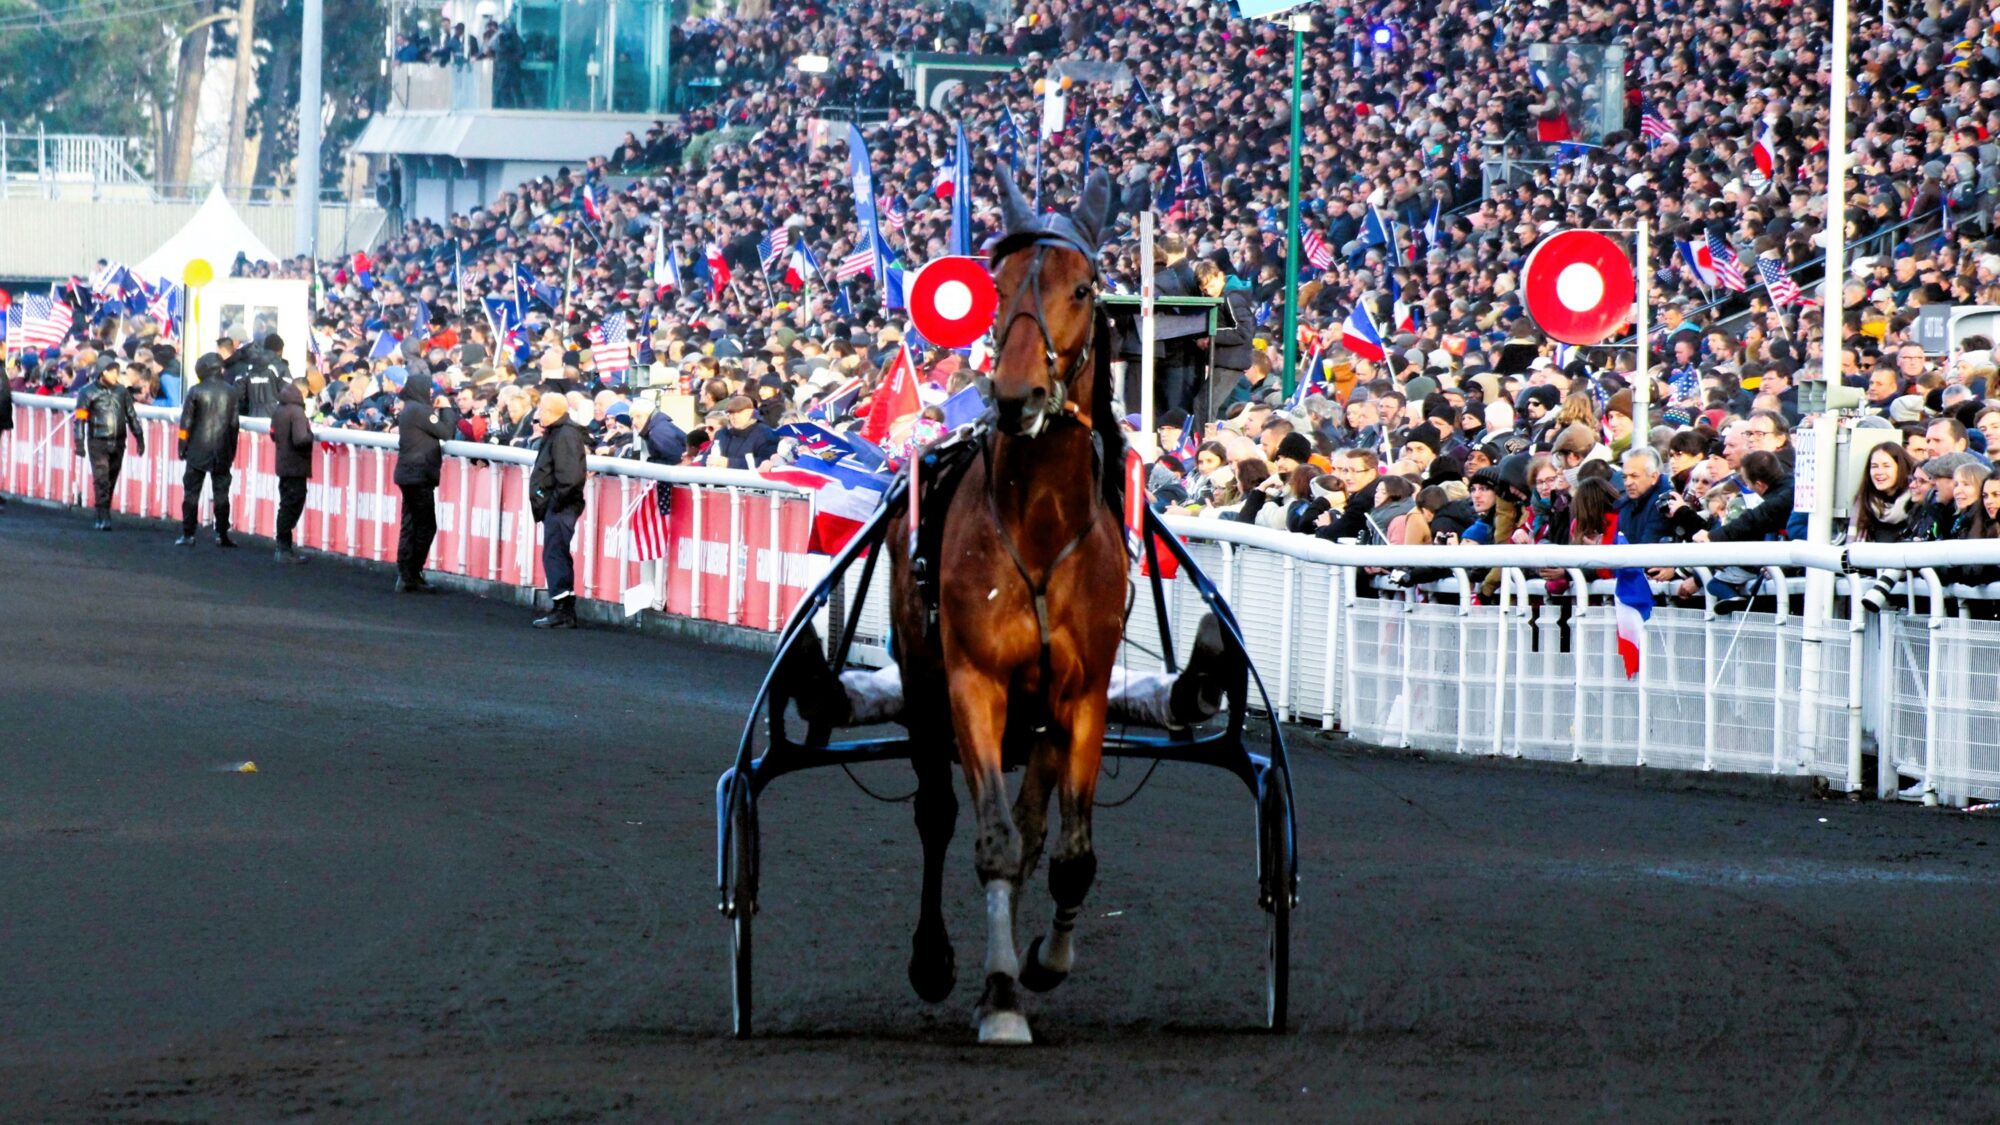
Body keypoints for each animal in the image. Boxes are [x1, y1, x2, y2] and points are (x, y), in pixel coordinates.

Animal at [888, 168, 1128, 1040]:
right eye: (996, 286)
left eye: (1082, 288)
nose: (1017, 395)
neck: (1040, 526)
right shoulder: (974, 682)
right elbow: (988, 838)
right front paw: (997, 994)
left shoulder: (1082, 692)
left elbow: (1069, 853)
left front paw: (1043, 961)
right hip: (923, 682)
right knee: (934, 811)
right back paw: (933, 959)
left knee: (1033, 831)